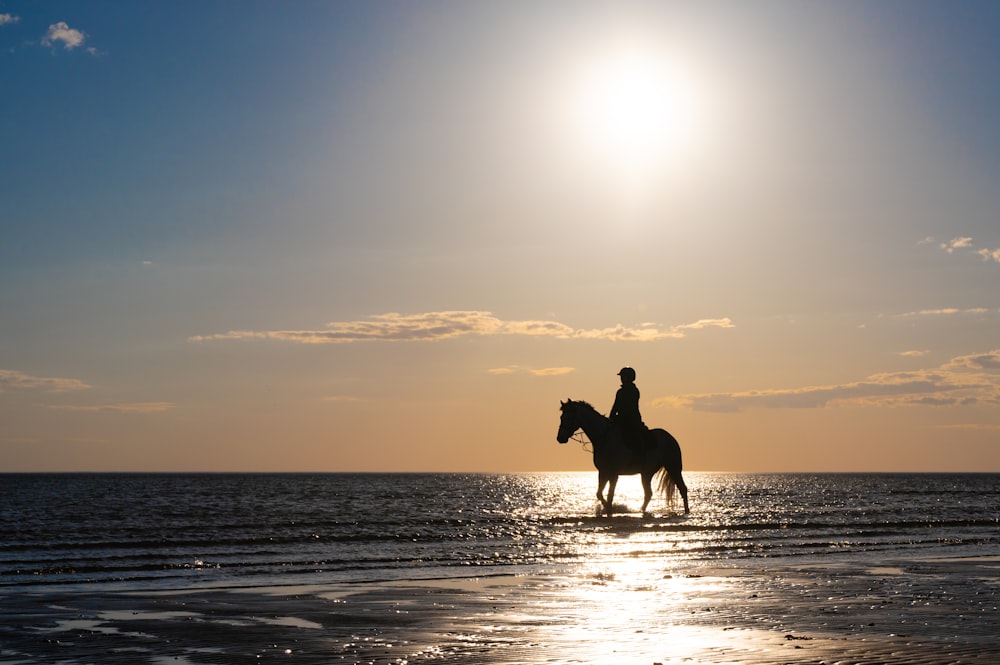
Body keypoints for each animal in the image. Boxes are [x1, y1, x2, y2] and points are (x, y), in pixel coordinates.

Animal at [556, 396, 688, 516]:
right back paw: (641, 510)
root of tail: (671, 438)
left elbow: (610, 494)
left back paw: (687, 511)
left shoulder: (614, 473)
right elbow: (599, 493)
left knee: (682, 488)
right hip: (647, 473)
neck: (604, 437)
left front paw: (609, 509)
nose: (560, 438)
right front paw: (607, 508)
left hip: (673, 467)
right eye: (561, 417)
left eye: (568, 417)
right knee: (648, 494)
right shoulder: (603, 472)